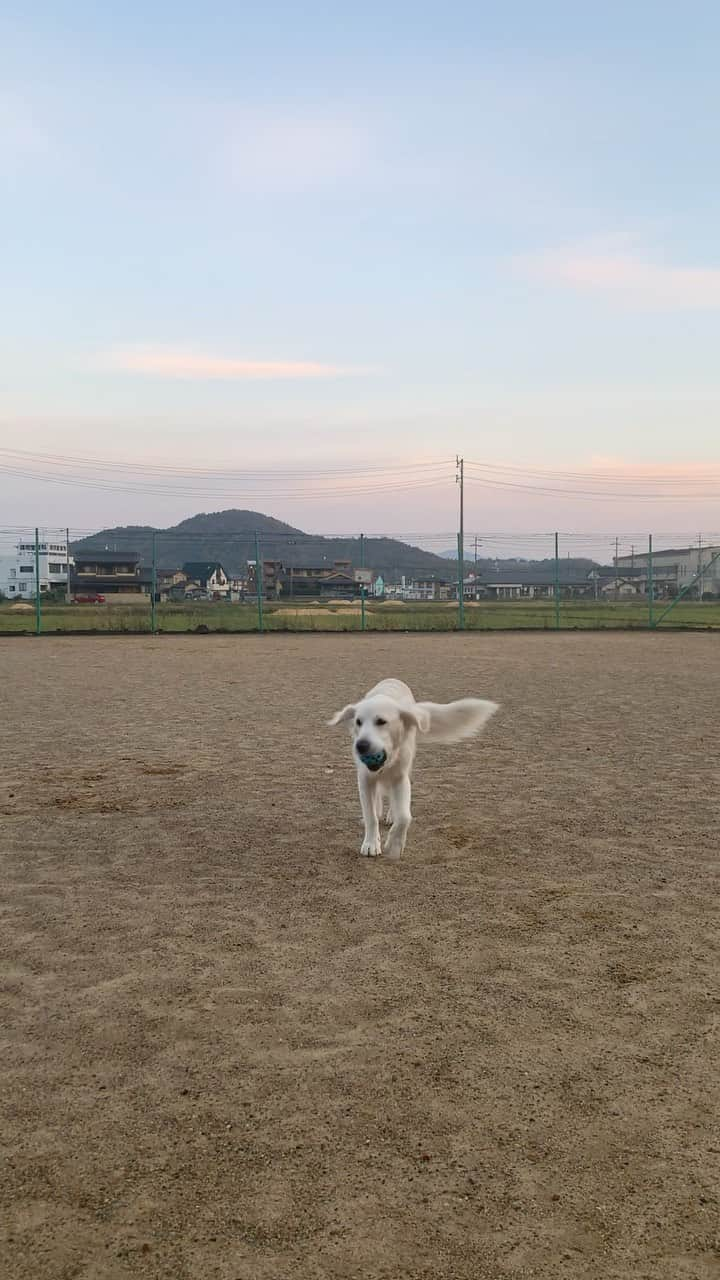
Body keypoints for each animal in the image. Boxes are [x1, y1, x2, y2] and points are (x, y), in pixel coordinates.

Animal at [327, 680, 497, 860]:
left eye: (381, 721)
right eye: (358, 722)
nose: (361, 746)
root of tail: (392, 679)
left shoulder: (401, 778)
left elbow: (404, 817)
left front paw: (394, 845)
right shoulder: (365, 779)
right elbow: (370, 815)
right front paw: (371, 843)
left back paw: (391, 814)